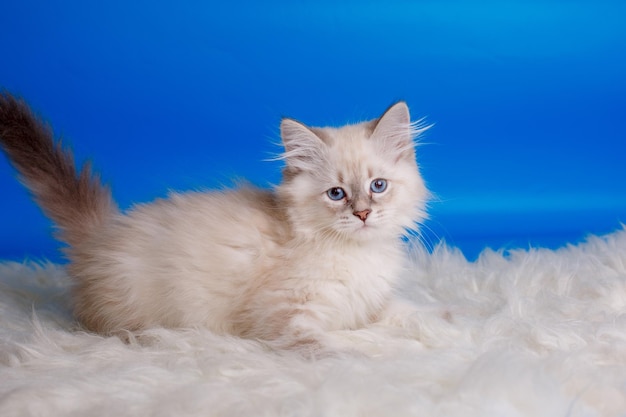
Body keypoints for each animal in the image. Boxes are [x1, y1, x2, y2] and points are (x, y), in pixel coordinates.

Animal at [0, 93, 426, 352]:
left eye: (378, 186)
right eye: (336, 194)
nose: (363, 214)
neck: (356, 254)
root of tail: (103, 232)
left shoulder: (370, 304)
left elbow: (413, 312)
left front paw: (437, 329)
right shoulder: (285, 317)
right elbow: (325, 349)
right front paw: (359, 364)